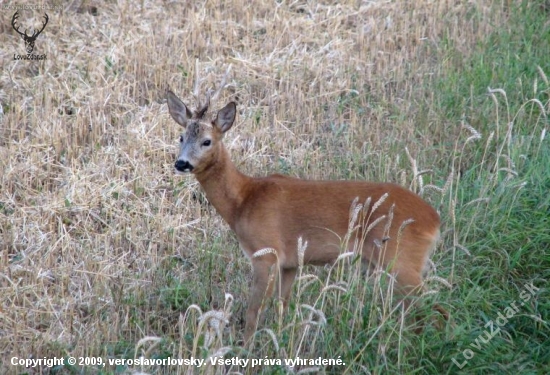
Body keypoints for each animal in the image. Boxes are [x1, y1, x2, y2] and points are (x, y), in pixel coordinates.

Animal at [166, 86, 450, 342]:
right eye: (180, 137)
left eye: (207, 141)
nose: (182, 163)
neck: (243, 201)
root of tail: (434, 220)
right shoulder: (290, 262)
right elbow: (282, 305)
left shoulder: (266, 253)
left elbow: (253, 311)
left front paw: (245, 350)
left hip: (401, 260)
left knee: (436, 310)